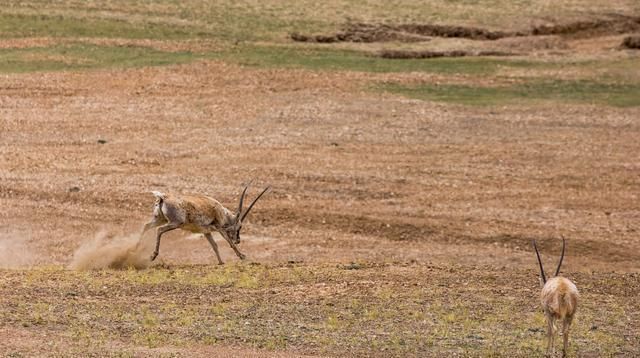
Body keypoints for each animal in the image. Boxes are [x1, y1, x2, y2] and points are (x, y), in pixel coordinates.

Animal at [140, 183, 270, 264]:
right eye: (239, 226)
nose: (238, 240)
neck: (222, 212)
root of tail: (163, 197)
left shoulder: (206, 232)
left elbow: (214, 245)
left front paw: (221, 262)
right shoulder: (219, 228)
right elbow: (229, 242)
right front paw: (242, 256)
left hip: (159, 219)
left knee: (146, 226)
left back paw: (136, 248)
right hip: (175, 223)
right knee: (159, 230)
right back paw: (152, 256)